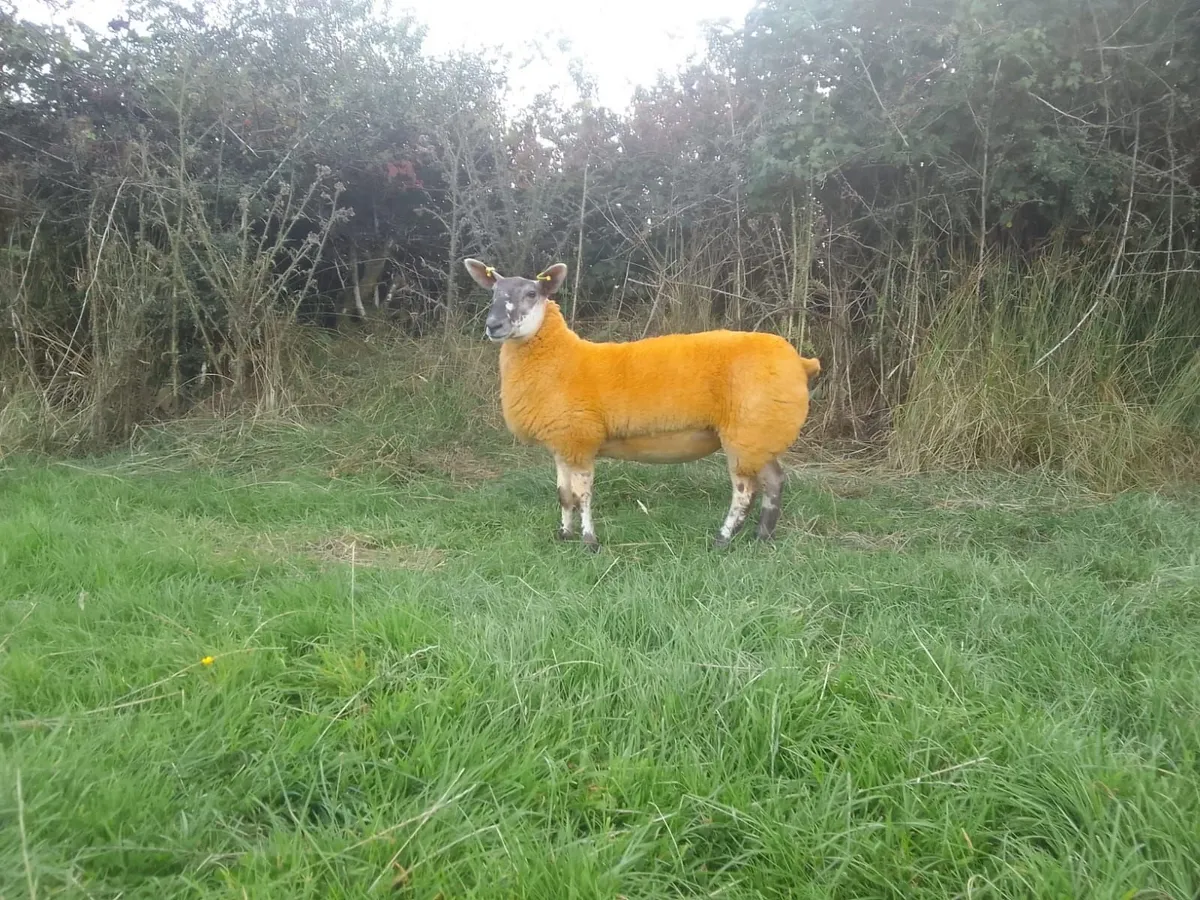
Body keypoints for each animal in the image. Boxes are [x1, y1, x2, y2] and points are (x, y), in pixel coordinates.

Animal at [463, 257, 822, 552]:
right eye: (492, 293)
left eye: (531, 294)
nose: (493, 326)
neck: (563, 358)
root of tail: (801, 362)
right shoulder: (564, 443)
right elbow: (564, 495)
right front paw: (564, 534)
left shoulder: (581, 438)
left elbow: (583, 495)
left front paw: (589, 542)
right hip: (761, 434)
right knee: (774, 481)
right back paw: (763, 537)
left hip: (747, 431)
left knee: (745, 491)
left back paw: (722, 539)